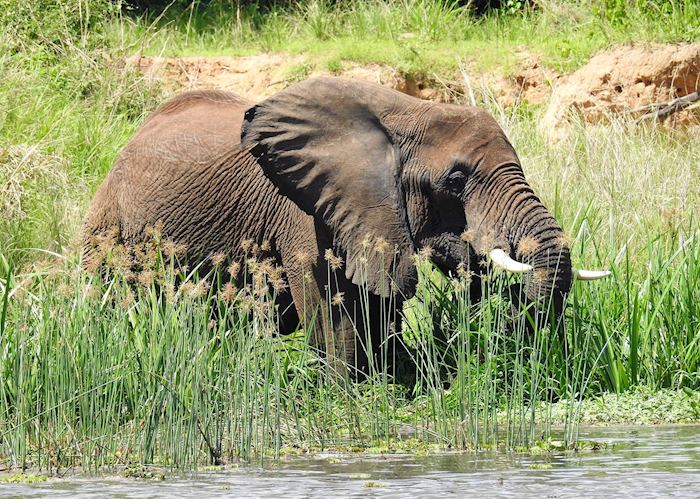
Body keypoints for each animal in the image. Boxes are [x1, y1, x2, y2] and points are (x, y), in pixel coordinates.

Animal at [84, 77, 608, 376]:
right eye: (456, 181)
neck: (409, 112)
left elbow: (380, 304)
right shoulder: (304, 211)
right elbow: (332, 314)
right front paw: (348, 393)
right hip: (108, 230)